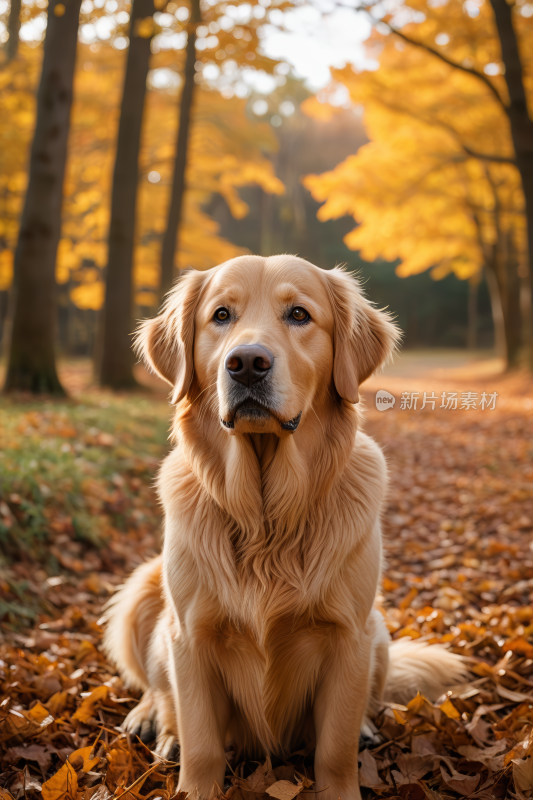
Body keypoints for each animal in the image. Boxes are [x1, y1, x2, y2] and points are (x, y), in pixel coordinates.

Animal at [105, 256, 466, 800]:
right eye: (221, 315)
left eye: (299, 314)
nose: (246, 363)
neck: (265, 517)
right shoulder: (190, 636)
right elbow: (202, 743)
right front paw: (192, 779)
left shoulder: (348, 634)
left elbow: (333, 749)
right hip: (144, 591)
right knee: (157, 689)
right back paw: (157, 725)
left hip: (377, 630)